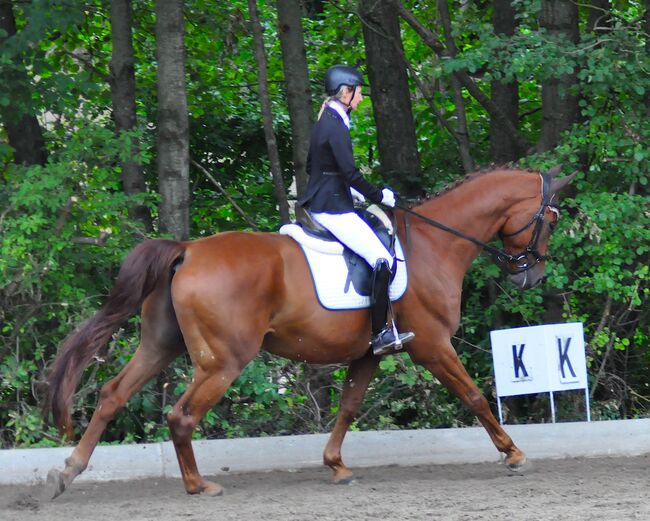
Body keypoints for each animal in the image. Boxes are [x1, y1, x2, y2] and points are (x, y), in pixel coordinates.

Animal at [44, 167, 572, 496]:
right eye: (550, 219)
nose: (531, 277)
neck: (434, 243)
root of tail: (187, 250)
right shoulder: (433, 347)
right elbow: (475, 396)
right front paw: (514, 453)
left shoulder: (370, 352)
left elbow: (348, 407)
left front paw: (336, 465)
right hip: (223, 360)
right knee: (182, 416)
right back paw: (198, 485)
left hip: (161, 344)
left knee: (113, 394)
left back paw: (68, 472)